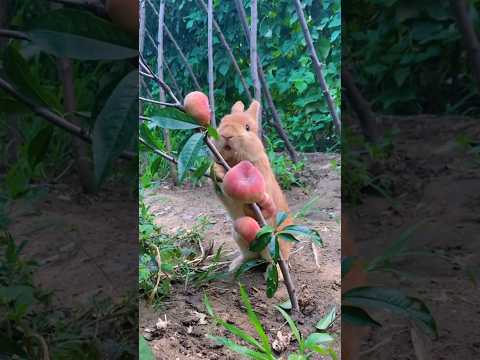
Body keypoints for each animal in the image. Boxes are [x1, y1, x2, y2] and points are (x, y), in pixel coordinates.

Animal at [213, 100, 294, 278]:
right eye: (222, 122)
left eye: (247, 127)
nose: (226, 135)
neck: (235, 162)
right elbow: (223, 192)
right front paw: (216, 170)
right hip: (238, 236)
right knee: (250, 255)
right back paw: (234, 266)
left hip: (272, 244)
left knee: (275, 260)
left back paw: (277, 274)